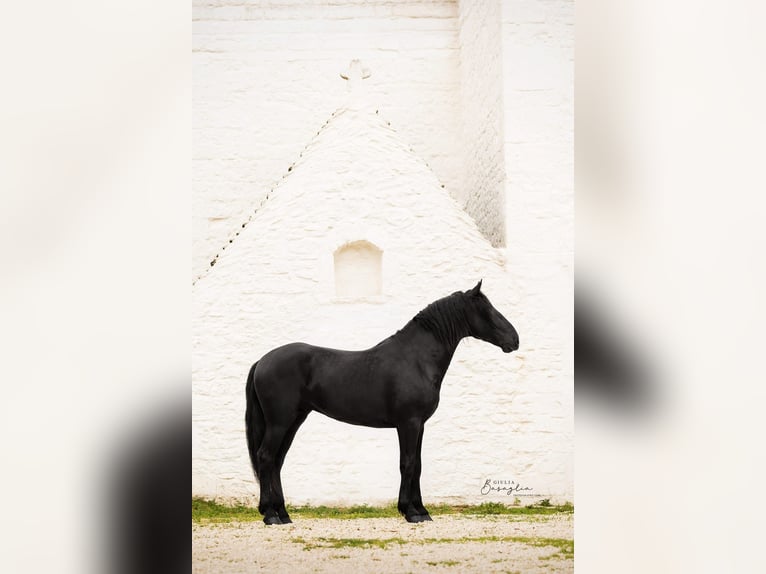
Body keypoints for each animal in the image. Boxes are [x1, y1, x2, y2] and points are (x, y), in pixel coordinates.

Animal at [245, 280, 519, 524]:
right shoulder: (408, 423)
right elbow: (408, 463)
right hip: (280, 422)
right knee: (266, 457)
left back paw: (283, 513)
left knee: (277, 461)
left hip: (294, 420)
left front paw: (421, 510)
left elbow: (418, 465)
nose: (515, 340)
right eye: (488, 310)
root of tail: (262, 361)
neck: (416, 359)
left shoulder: (419, 425)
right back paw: (270, 515)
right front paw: (410, 512)